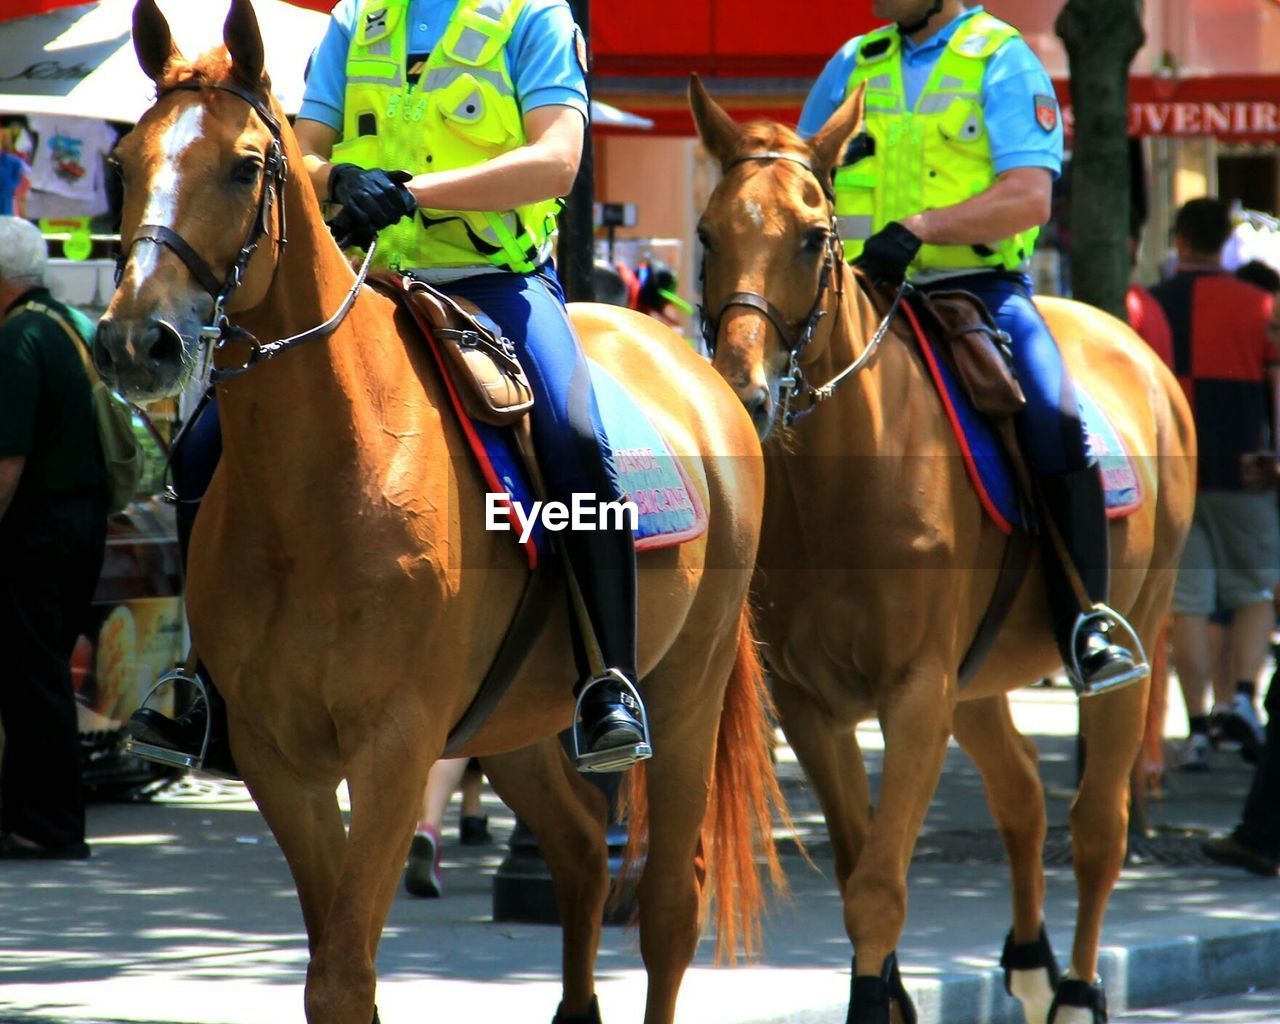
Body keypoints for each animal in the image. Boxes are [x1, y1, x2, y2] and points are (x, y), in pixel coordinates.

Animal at [97, 2, 778, 1024]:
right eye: (123, 163)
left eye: (245, 166)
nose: (137, 342)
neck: (328, 478)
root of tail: (699, 371)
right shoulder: (280, 760)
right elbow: (337, 973)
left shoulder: (394, 747)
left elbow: (342, 974)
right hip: (520, 721)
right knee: (581, 855)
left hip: (685, 693)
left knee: (668, 905)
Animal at [691, 80, 1198, 1024]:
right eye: (706, 234)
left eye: (812, 235)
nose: (744, 393)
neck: (848, 477)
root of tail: (1139, 352)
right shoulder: (814, 706)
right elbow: (857, 869)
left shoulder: (916, 694)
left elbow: (878, 893)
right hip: (981, 678)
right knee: (1023, 794)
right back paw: (1031, 965)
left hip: (1126, 648)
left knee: (1096, 829)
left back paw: (1076, 989)